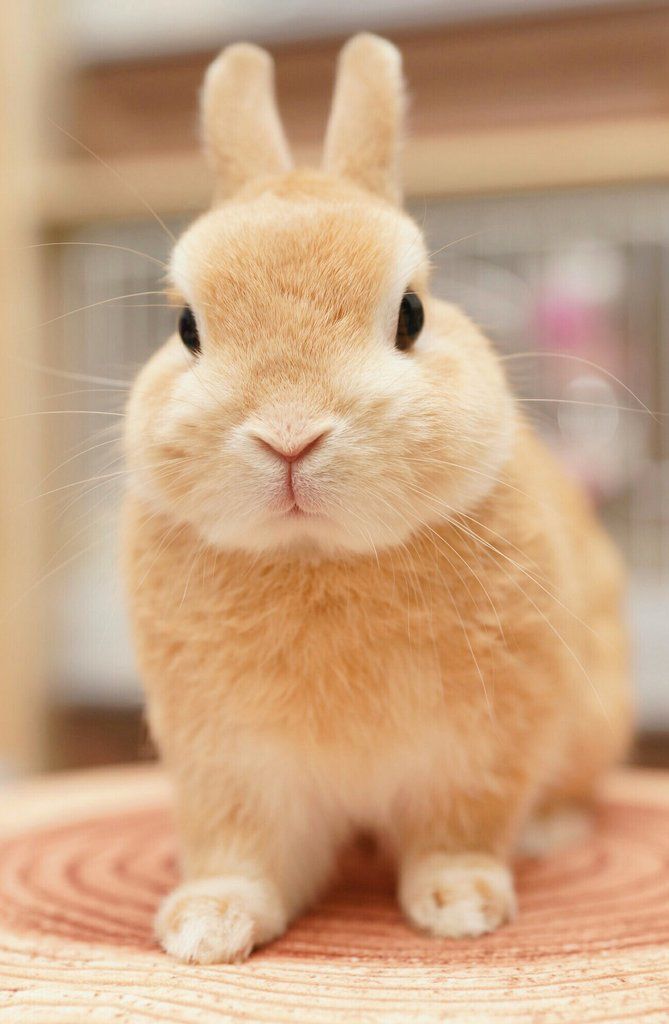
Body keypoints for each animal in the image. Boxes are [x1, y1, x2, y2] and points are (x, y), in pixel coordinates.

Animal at [121, 29, 631, 958]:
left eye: (412, 314)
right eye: (185, 329)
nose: (289, 434)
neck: (316, 557)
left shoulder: (477, 749)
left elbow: (457, 833)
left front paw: (461, 906)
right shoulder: (230, 767)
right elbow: (242, 853)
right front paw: (205, 926)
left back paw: (549, 833)